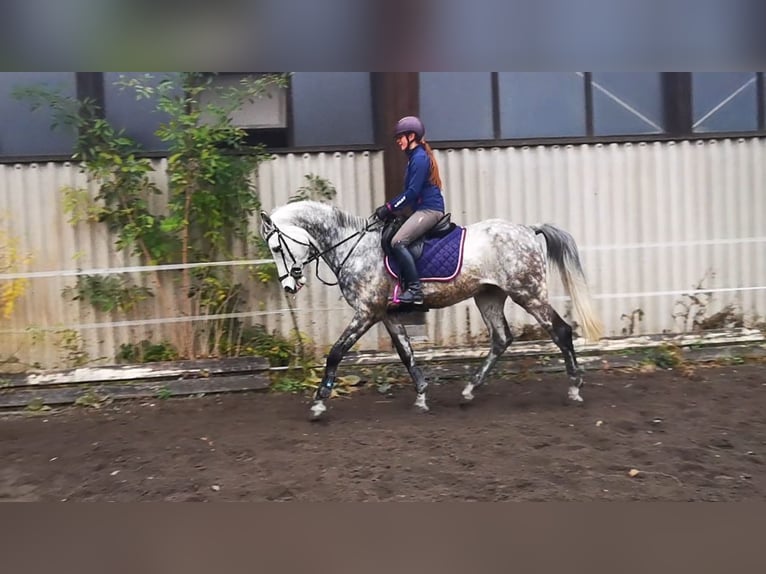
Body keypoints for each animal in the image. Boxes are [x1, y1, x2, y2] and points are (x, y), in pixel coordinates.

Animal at [260, 200, 604, 420]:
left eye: (277, 247)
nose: (289, 286)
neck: (352, 248)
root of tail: (528, 230)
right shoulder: (386, 315)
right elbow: (406, 353)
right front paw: (422, 395)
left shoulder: (366, 312)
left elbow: (335, 353)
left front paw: (319, 403)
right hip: (488, 297)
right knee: (501, 338)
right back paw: (469, 390)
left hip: (528, 293)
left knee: (561, 331)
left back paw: (575, 389)